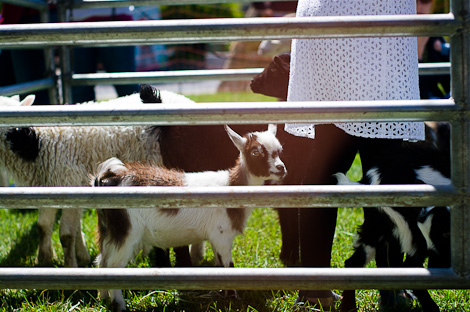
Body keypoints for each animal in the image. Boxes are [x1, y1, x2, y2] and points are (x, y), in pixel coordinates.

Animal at [0, 90, 194, 268]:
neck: (35, 144)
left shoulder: (69, 183)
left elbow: (66, 234)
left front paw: (70, 265)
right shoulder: (48, 189)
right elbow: (44, 226)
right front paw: (46, 259)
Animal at [338, 130, 452, 310]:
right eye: (445, 234)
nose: (439, 267)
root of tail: (369, 180)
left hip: (377, 227)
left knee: (352, 263)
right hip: (410, 231)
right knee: (411, 267)